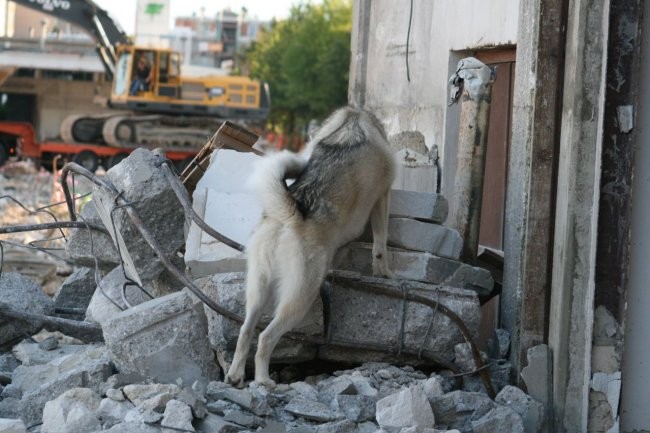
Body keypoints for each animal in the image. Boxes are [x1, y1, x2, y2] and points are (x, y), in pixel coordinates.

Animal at [225, 106, 392, 386]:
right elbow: (381, 245)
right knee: (265, 337)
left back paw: (236, 376)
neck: (354, 118)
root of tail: (291, 214)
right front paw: (385, 272)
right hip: (300, 297)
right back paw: (263, 380)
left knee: (246, 330)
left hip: (258, 289)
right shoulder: (383, 197)